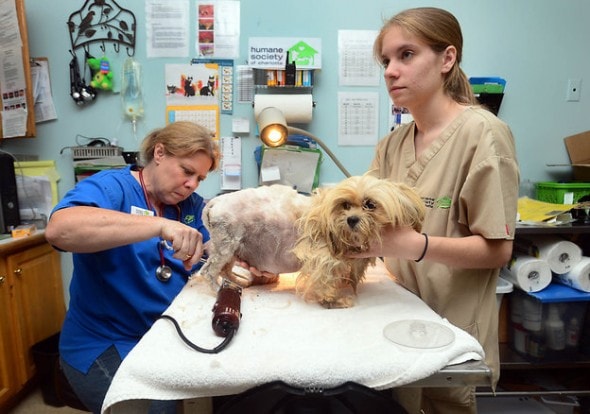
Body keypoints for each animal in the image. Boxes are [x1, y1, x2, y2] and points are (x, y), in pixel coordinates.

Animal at [200, 175, 426, 308]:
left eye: (370, 205)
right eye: (345, 205)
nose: (352, 219)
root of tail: (215, 202)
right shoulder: (323, 258)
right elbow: (323, 282)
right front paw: (334, 300)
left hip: (232, 247)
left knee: (224, 269)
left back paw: (238, 281)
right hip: (227, 242)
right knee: (208, 271)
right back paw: (217, 289)